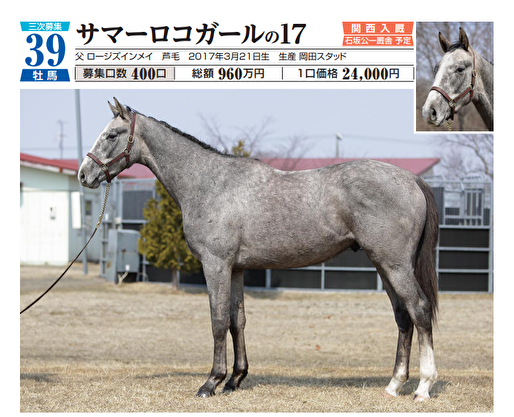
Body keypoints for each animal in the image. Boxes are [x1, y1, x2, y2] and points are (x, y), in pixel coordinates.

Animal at [79, 98, 440, 401]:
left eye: (111, 135)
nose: (84, 174)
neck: (210, 183)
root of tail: (412, 179)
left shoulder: (216, 265)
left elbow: (217, 320)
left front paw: (211, 382)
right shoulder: (236, 268)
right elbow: (237, 320)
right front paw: (235, 379)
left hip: (394, 264)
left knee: (419, 310)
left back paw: (423, 387)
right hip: (385, 265)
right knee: (403, 317)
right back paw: (394, 384)